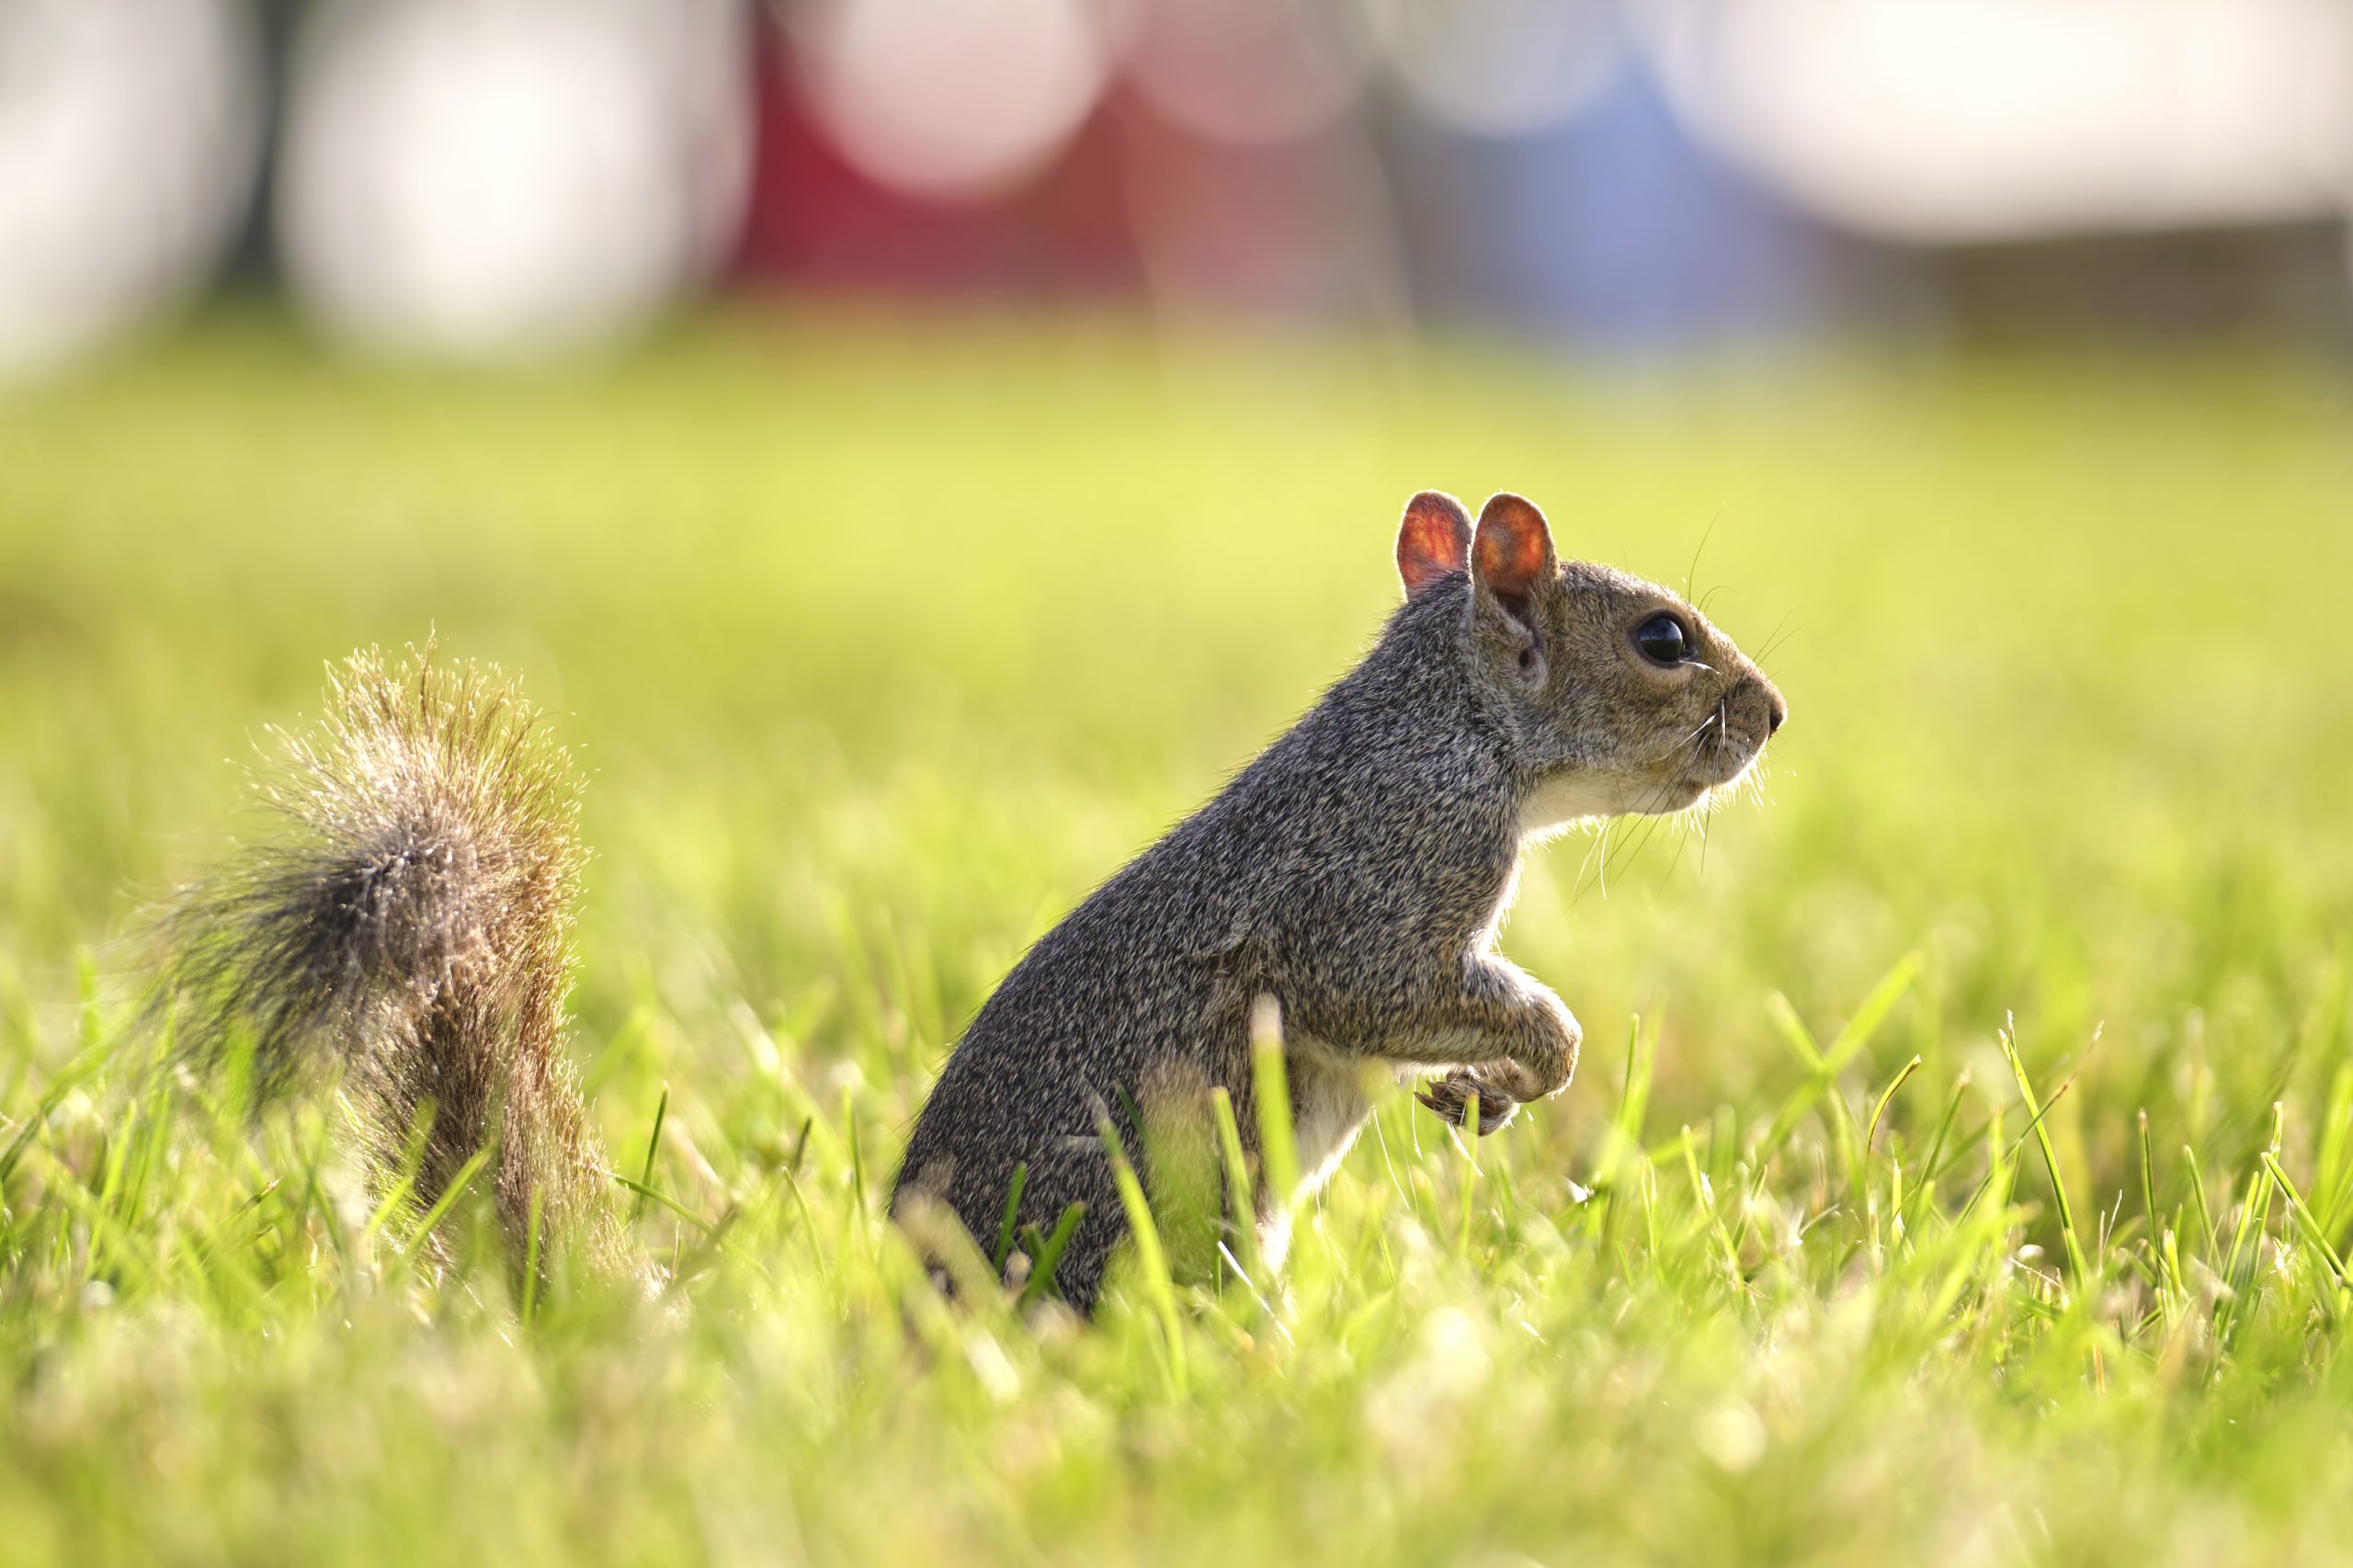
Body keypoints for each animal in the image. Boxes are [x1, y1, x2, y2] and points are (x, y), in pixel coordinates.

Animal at [891, 490, 1785, 1312]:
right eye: (1662, 639)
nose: (1773, 713)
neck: (1455, 727)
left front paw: (1490, 1092)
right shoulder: (1383, 888)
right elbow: (1384, 990)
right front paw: (1543, 1058)